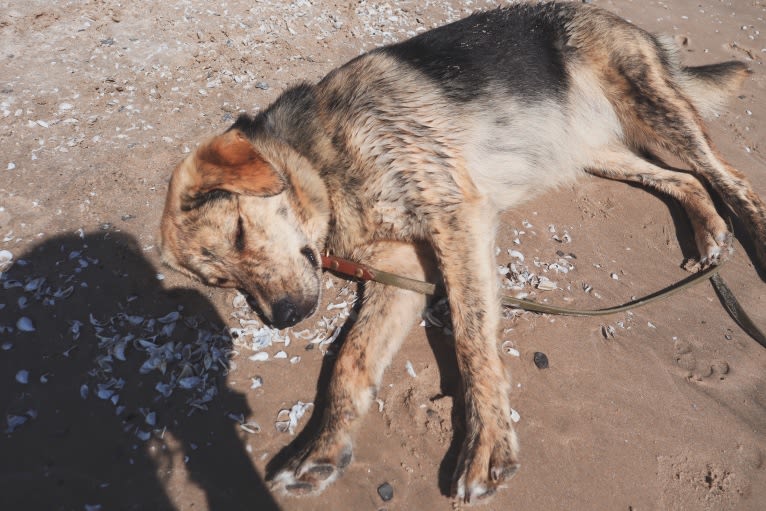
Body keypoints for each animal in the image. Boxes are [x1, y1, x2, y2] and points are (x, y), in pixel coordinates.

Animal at [158, 1, 766, 504]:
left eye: (240, 231)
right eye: (222, 283)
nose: (284, 319)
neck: (321, 160)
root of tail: (616, 18)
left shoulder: (457, 217)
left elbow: (473, 337)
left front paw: (487, 443)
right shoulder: (401, 267)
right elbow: (351, 360)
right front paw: (323, 449)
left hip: (653, 110)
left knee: (728, 176)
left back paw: (749, 234)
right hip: (591, 149)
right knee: (683, 179)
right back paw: (710, 230)